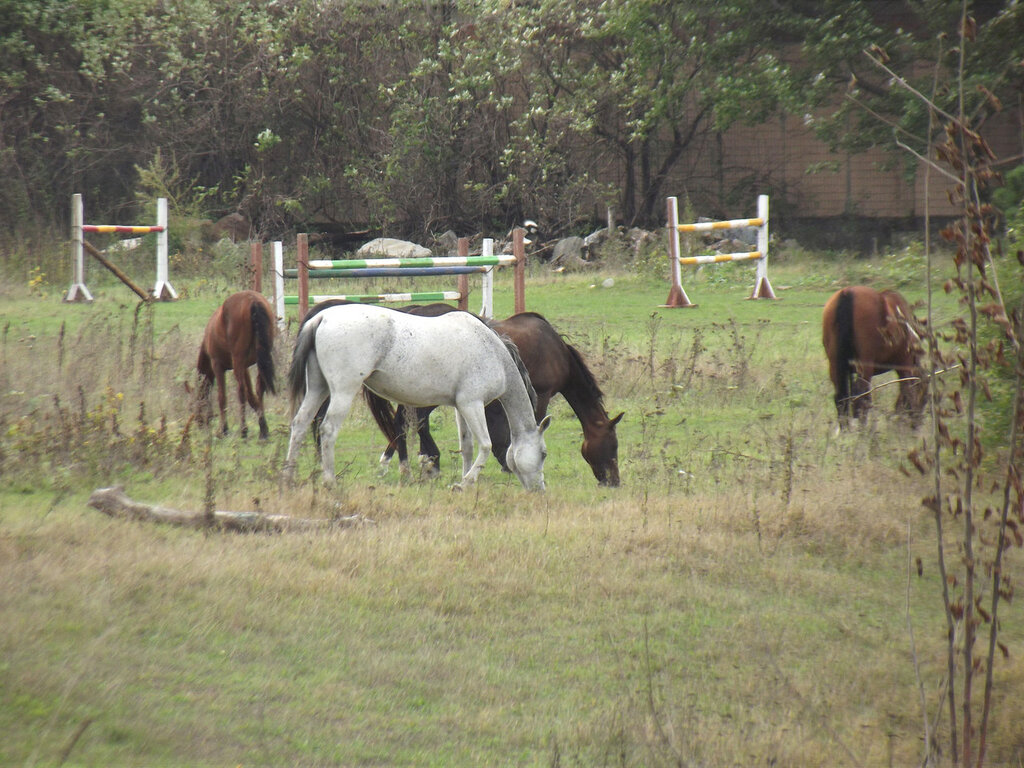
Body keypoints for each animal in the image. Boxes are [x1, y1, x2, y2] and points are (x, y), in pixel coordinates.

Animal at [193, 290, 276, 438]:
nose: (199, 424)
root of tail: (253, 300)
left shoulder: (217, 365)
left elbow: (222, 397)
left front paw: (223, 429)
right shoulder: (245, 367)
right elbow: (251, 395)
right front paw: (262, 421)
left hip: (238, 360)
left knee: (240, 392)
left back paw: (243, 430)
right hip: (260, 359)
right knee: (259, 388)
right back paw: (262, 430)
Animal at [280, 303, 552, 489]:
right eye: (543, 454)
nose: (540, 489)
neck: (493, 352)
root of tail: (322, 317)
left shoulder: (461, 406)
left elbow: (466, 446)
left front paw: (464, 478)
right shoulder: (472, 404)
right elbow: (484, 445)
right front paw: (465, 483)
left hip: (318, 389)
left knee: (300, 424)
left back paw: (289, 477)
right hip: (342, 392)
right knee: (327, 430)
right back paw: (330, 481)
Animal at [823, 286, 929, 430]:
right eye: (924, 396)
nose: (918, 422)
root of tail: (847, 293)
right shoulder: (904, 365)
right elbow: (908, 390)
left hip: (835, 365)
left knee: (841, 399)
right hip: (865, 366)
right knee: (862, 398)